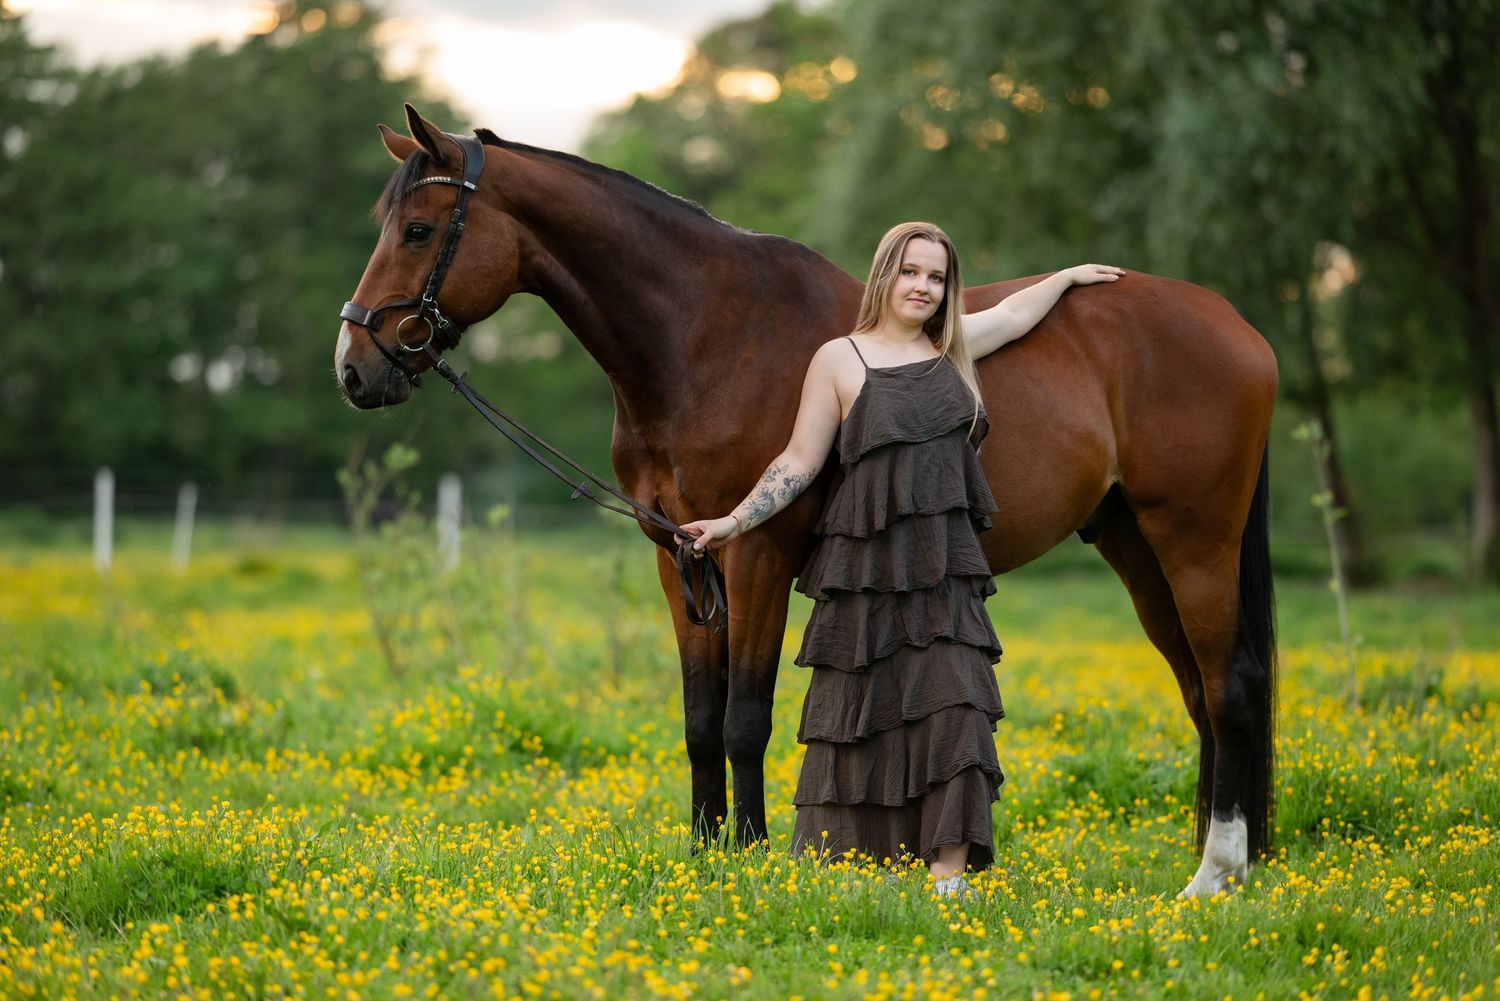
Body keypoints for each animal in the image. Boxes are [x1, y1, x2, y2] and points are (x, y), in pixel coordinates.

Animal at [335, 105, 1278, 897]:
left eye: (418, 229)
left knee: (1228, 686)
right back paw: (1217, 855)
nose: (354, 367)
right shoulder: (680, 553)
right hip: (1133, 544)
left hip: (1193, 540)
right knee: (1200, 692)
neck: (706, 337)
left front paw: (753, 854)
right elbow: (699, 719)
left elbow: (746, 718)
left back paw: (1213, 874)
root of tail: (1239, 326)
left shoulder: (756, 552)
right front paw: (704, 850)